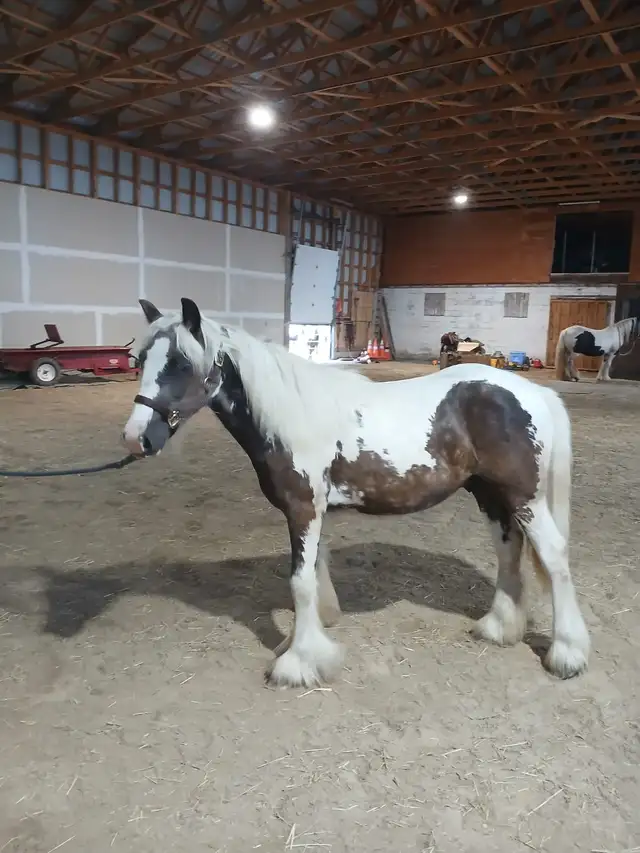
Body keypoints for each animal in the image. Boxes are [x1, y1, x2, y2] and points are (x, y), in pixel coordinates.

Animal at [122, 297, 590, 689]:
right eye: (141, 359)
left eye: (181, 362)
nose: (135, 438)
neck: (291, 413)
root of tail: (535, 392)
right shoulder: (312, 511)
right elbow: (315, 571)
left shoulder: (303, 509)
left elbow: (300, 582)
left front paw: (298, 663)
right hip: (492, 494)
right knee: (508, 549)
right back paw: (498, 629)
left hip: (524, 498)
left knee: (554, 557)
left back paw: (567, 653)